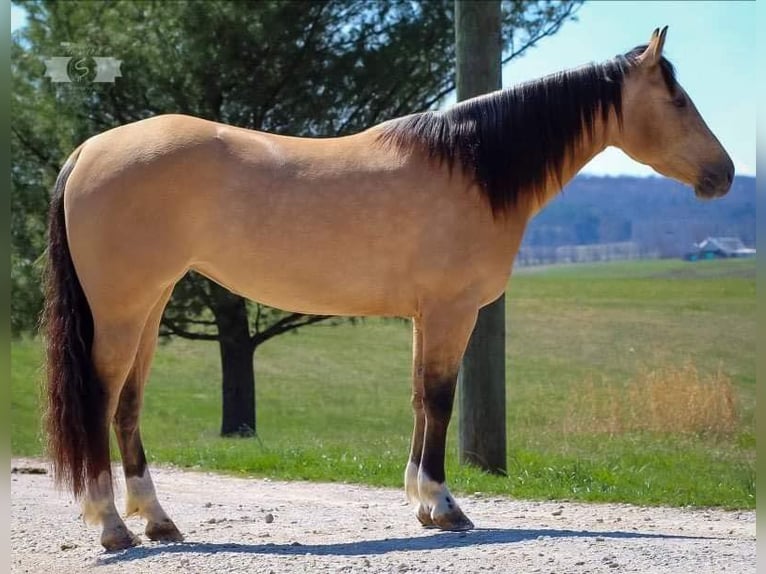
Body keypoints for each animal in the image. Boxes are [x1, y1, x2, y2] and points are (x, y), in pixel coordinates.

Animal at [40, 27, 732, 552]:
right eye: (677, 99)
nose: (723, 175)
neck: (472, 167)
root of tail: (87, 151)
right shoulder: (453, 312)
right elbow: (442, 399)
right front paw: (445, 505)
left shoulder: (428, 316)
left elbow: (422, 400)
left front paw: (422, 504)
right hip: (123, 309)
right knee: (99, 399)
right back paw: (111, 527)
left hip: (149, 305)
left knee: (128, 404)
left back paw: (158, 521)